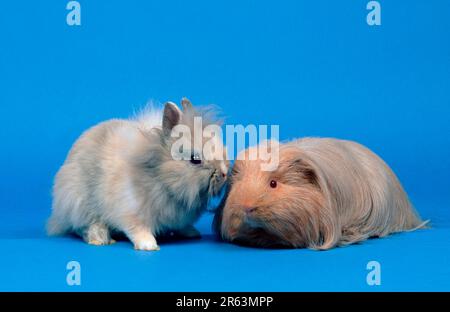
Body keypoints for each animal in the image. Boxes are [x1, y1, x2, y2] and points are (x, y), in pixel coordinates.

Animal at [48, 98, 229, 250]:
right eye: (194, 159)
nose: (224, 173)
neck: (159, 177)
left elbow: (182, 226)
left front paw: (192, 233)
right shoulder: (130, 211)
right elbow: (137, 229)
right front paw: (148, 245)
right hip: (77, 202)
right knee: (83, 226)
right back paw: (101, 239)